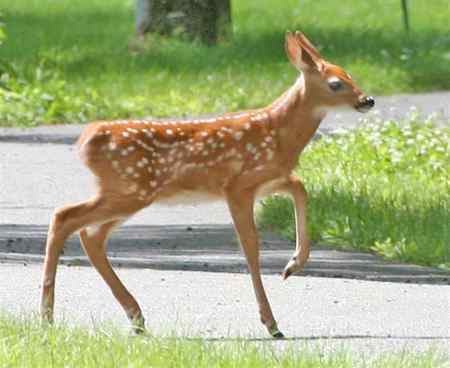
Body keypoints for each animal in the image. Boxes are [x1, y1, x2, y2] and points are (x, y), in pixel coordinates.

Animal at [41, 31, 372, 340]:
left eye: (350, 75)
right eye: (335, 84)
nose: (367, 100)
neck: (278, 135)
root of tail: (87, 140)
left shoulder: (268, 179)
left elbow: (300, 188)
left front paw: (293, 265)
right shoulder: (237, 186)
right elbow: (251, 246)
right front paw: (271, 323)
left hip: (128, 192)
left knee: (90, 234)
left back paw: (134, 317)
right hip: (131, 190)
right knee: (65, 216)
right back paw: (48, 316)